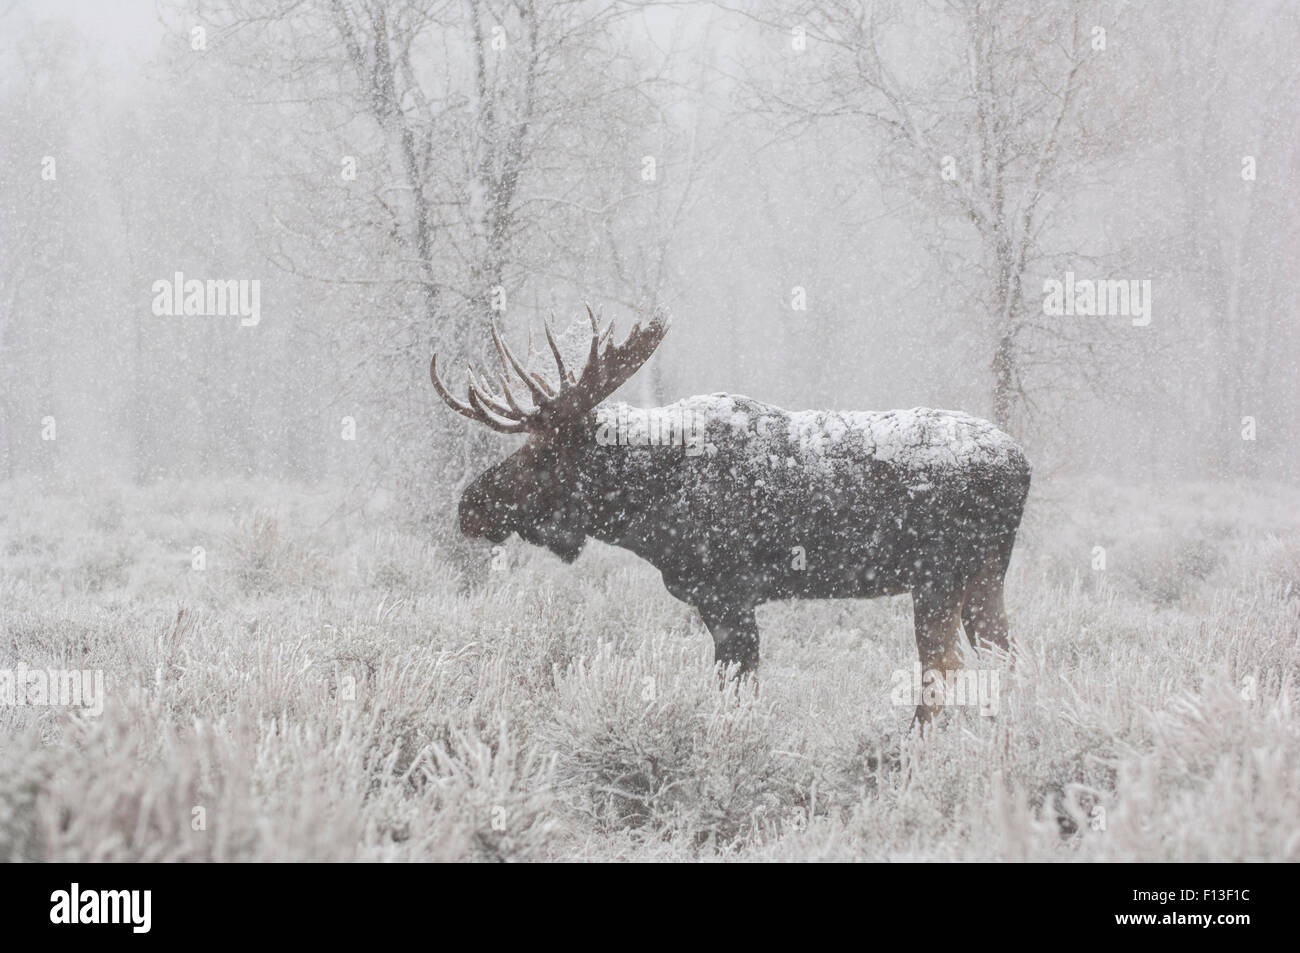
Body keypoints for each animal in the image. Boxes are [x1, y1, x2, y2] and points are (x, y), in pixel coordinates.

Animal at [431, 312, 1029, 722]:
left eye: (544, 452)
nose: (469, 504)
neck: (648, 514)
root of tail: (1022, 464)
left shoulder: (727, 595)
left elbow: (735, 693)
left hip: (937, 576)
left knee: (943, 671)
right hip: (984, 578)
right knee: (1005, 658)